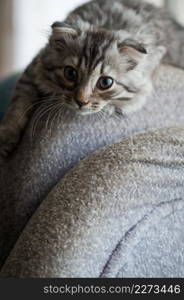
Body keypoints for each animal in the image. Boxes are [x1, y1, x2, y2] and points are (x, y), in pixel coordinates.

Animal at [0, 0, 184, 162]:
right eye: (70, 73)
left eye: (106, 83)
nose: (81, 101)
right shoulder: (33, 69)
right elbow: (18, 106)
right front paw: (6, 139)